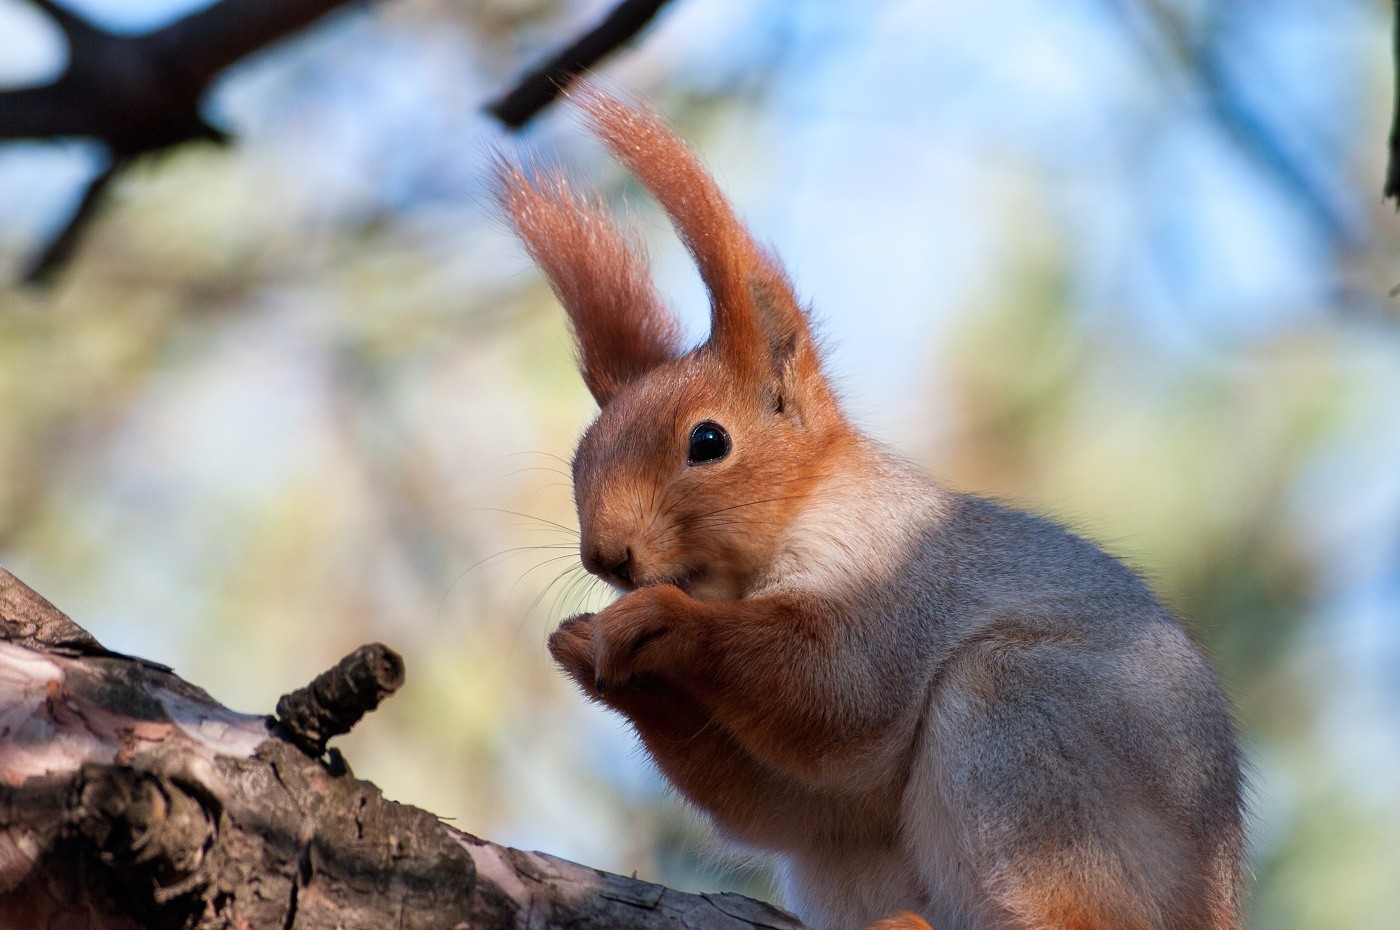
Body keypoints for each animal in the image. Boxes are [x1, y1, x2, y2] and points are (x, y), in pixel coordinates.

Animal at [495, 88, 1248, 930]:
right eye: (580, 457)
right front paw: (582, 651)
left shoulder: (898, 588)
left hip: (1028, 732)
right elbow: (788, 803)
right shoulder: (828, 804)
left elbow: (835, 688)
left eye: (708, 441)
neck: (801, 513)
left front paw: (665, 620)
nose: (607, 556)